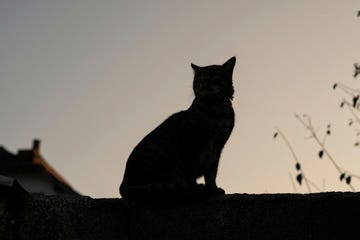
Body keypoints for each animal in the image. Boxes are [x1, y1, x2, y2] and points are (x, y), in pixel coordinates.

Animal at [119, 56, 236, 202]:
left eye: (213, 76)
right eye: (199, 79)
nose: (202, 84)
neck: (218, 112)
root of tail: (123, 186)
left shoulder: (217, 148)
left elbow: (211, 173)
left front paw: (213, 189)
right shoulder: (191, 144)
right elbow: (191, 174)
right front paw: (195, 190)